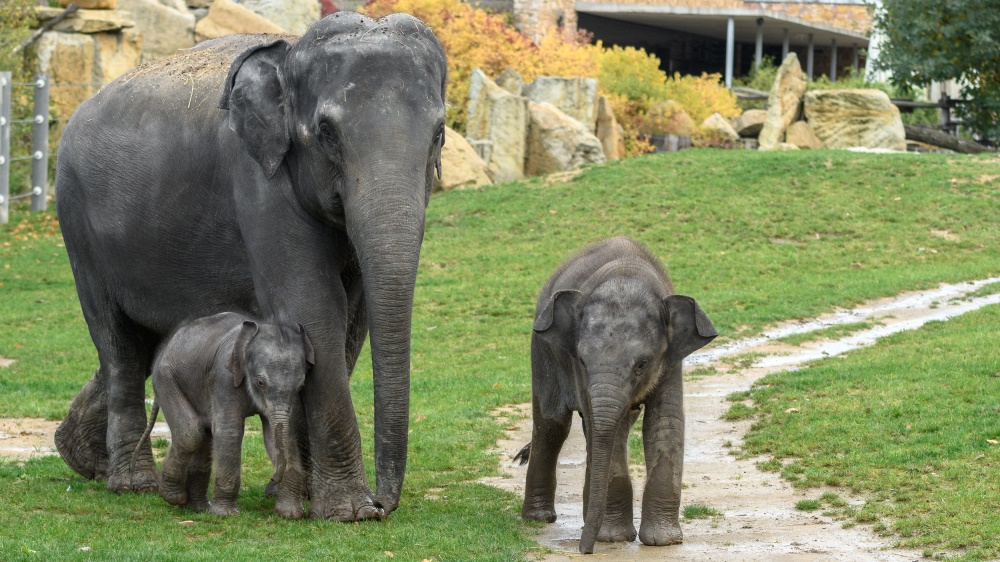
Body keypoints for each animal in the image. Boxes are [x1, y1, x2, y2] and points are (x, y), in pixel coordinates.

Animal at [138, 310, 312, 516]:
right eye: (260, 383)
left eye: (300, 386)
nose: (272, 478)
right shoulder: (225, 376)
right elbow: (230, 430)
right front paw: (226, 514)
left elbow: (278, 434)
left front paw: (291, 514)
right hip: (165, 379)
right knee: (190, 432)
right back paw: (175, 497)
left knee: (203, 435)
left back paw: (199, 508)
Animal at [520, 235, 716, 552]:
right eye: (582, 360)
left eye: (642, 364)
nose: (584, 551)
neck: (627, 276)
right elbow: (601, 427)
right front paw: (613, 538)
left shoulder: (671, 360)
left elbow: (664, 422)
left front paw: (663, 542)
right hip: (541, 348)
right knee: (553, 426)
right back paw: (540, 518)